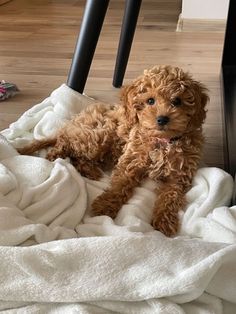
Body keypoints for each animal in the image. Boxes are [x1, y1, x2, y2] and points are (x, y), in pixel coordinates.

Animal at [18, 65, 208, 236]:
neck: (163, 141)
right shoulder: (130, 161)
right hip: (97, 135)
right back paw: (59, 155)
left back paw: (89, 170)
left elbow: (170, 197)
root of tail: (72, 124)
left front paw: (164, 221)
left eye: (177, 101)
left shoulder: (179, 176)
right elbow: (120, 185)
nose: (162, 119)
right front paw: (105, 205)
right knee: (64, 145)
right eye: (150, 101)